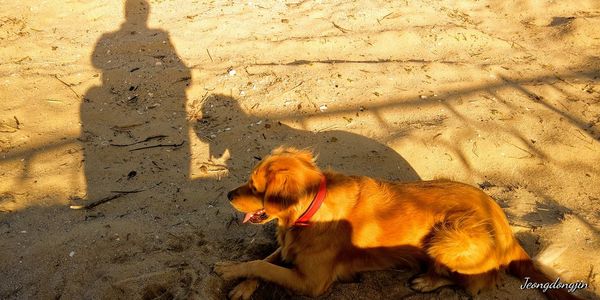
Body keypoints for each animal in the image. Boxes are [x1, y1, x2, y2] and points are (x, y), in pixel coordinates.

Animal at [214, 146, 576, 298]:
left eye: (255, 187)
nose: (228, 194)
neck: (309, 212)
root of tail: (506, 227)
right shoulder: (290, 250)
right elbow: (265, 260)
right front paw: (241, 282)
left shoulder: (312, 282)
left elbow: (264, 266)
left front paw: (228, 270)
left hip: (448, 234)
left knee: (471, 282)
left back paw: (427, 281)